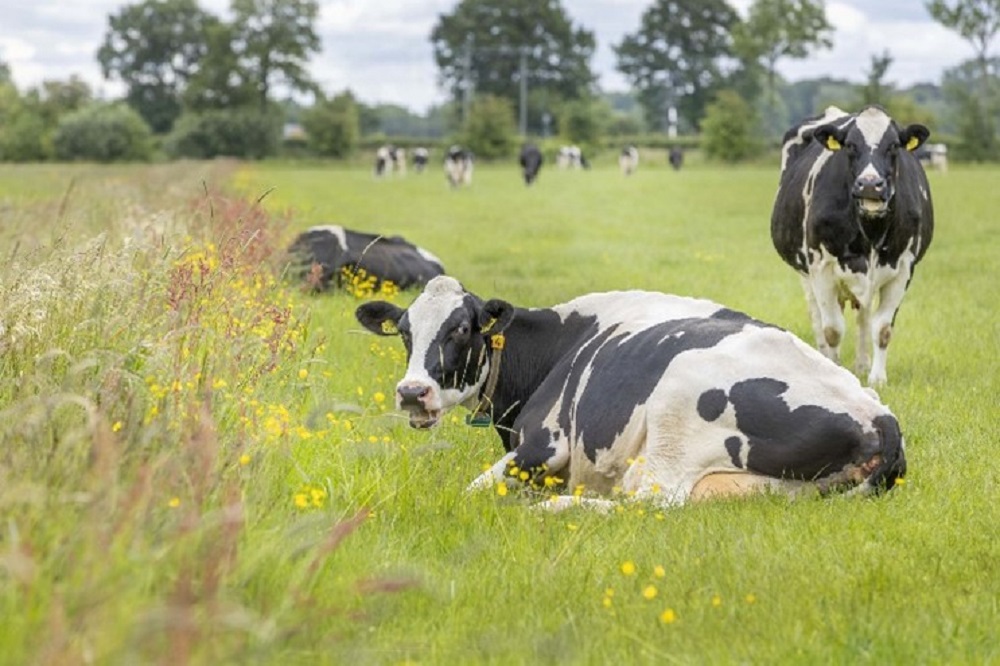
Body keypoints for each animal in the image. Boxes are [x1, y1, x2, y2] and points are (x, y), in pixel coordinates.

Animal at [354, 274, 908, 508]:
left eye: (463, 329)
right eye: (405, 332)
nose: (412, 392)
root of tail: (881, 419)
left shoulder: (544, 444)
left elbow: (469, 490)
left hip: (675, 411)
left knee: (649, 503)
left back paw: (559, 507)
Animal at [768, 103, 932, 384]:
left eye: (893, 146)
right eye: (851, 146)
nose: (870, 185)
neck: (870, 231)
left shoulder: (903, 268)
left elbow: (883, 328)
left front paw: (877, 379)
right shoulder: (821, 267)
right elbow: (832, 330)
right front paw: (833, 369)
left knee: (863, 316)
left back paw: (863, 365)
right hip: (805, 272)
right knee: (817, 317)